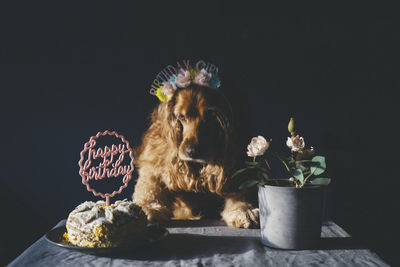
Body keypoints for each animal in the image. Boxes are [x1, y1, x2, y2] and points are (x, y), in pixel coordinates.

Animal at [134, 84, 260, 228]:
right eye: (182, 117)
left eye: (209, 117)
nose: (192, 151)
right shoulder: (154, 166)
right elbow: (149, 188)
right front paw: (147, 208)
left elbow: (239, 193)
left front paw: (245, 211)